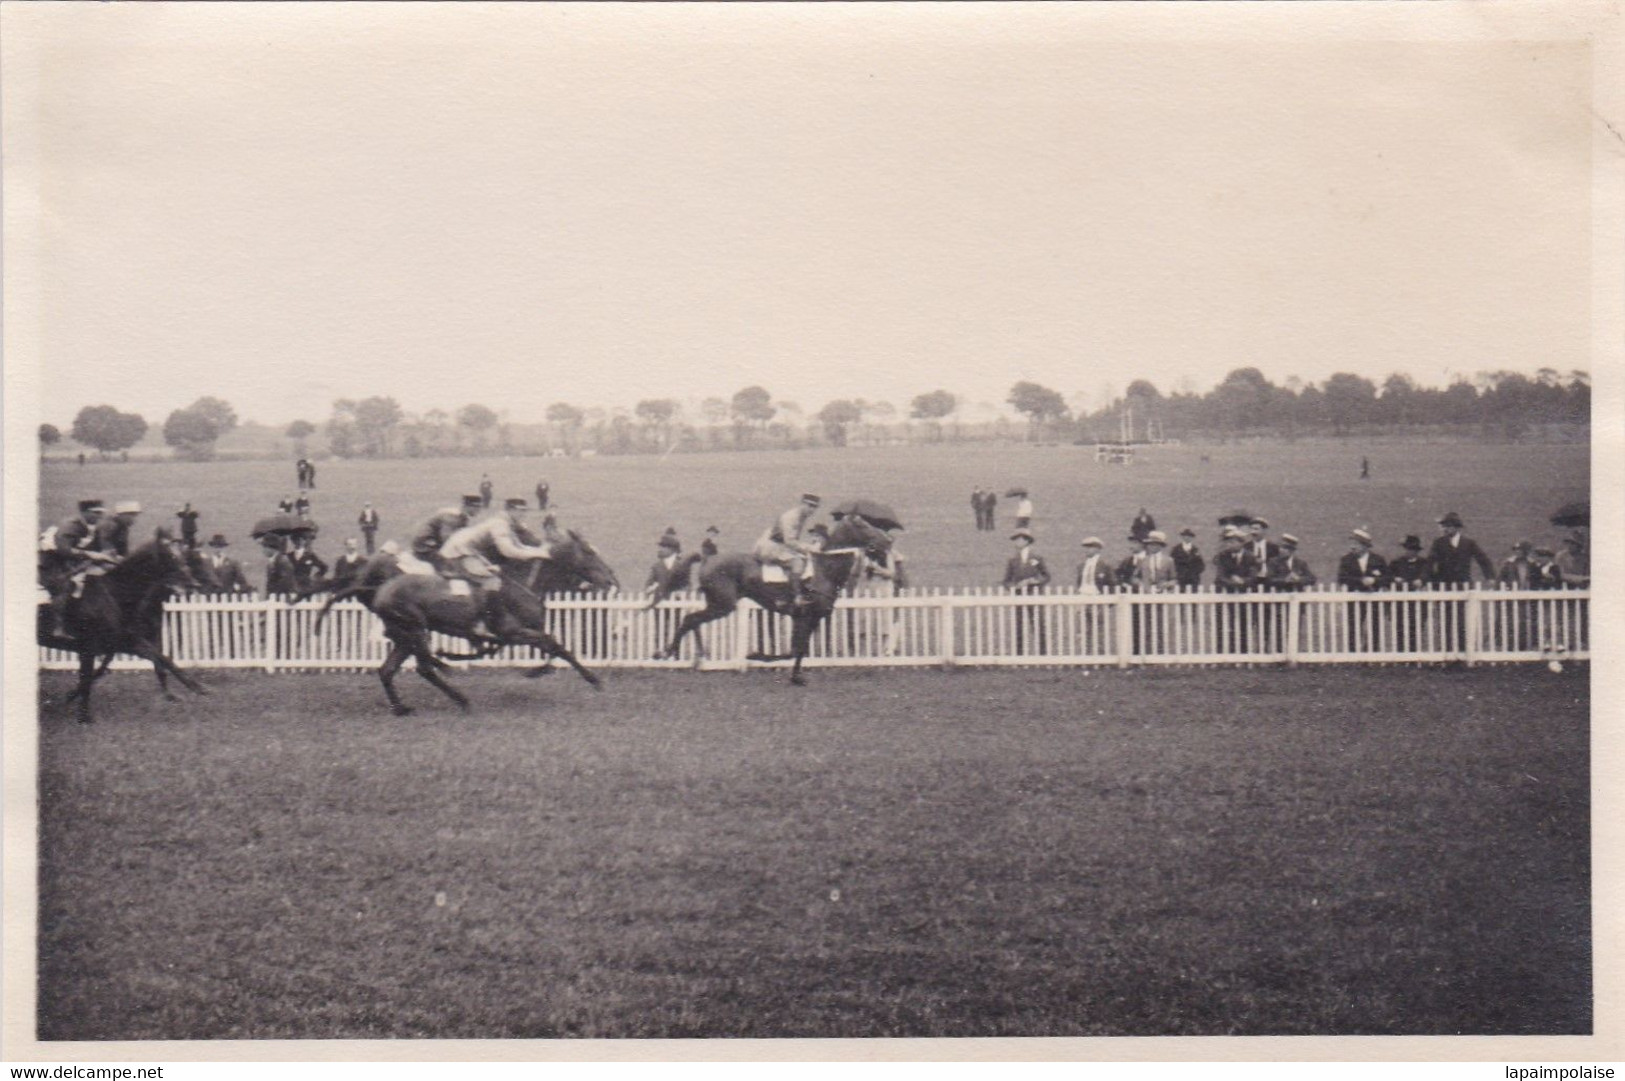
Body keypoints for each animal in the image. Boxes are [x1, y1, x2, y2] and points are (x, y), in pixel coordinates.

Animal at [36, 526, 206, 721]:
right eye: (171, 556)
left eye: (183, 555)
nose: (194, 584)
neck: (114, 594)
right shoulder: (90, 647)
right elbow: (86, 678)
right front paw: (84, 717)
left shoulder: (125, 641)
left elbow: (162, 659)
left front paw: (195, 688)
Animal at [295, 523, 617, 715]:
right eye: (589, 552)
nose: (611, 579)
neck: (522, 582)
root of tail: (376, 588)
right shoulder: (514, 631)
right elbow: (557, 645)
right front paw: (594, 679)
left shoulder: (513, 634)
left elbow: (548, 647)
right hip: (415, 629)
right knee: (424, 667)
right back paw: (460, 698)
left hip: (404, 635)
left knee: (387, 670)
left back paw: (402, 707)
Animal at [653, 513, 897, 682]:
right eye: (863, 525)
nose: (888, 542)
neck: (824, 570)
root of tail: (707, 560)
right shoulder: (804, 616)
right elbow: (794, 649)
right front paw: (755, 654)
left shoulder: (811, 617)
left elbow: (799, 649)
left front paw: (796, 676)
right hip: (723, 605)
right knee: (690, 619)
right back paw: (669, 652)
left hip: (717, 603)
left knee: (692, 619)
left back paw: (693, 656)